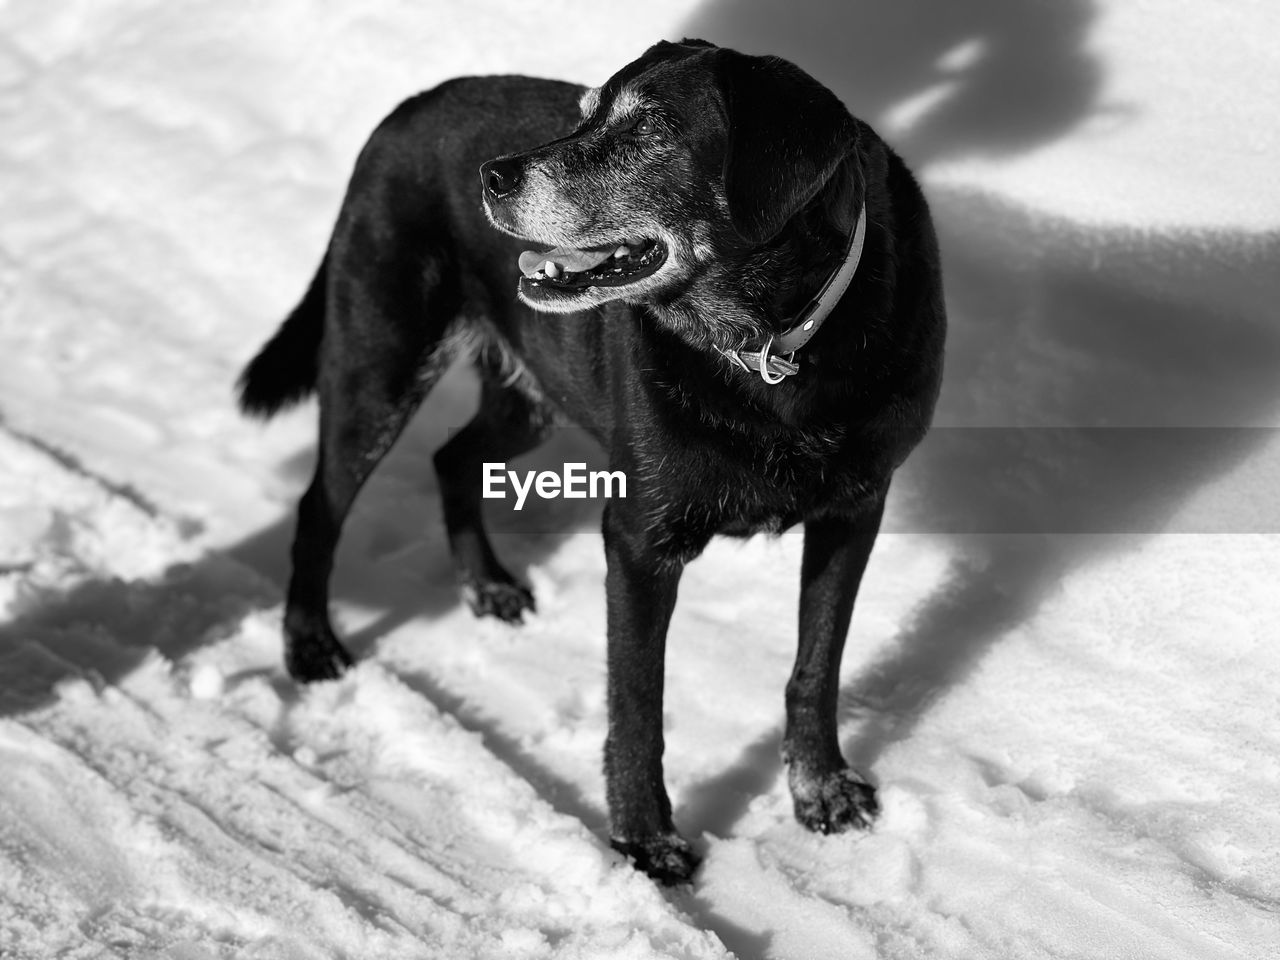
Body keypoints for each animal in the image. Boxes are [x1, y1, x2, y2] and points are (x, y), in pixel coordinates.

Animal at [238, 39, 942, 885]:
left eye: (649, 131)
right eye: (585, 114)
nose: (492, 177)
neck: (770, 351)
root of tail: (406, 109)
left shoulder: (853, 511)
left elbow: (818, 666)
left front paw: (821, 788)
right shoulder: (640, 540)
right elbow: (638, 703)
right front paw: (646, 840)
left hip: (529, 394)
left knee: (451, 457)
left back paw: (485, 585)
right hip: (378, 368)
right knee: (321, 505)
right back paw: (309, 644)